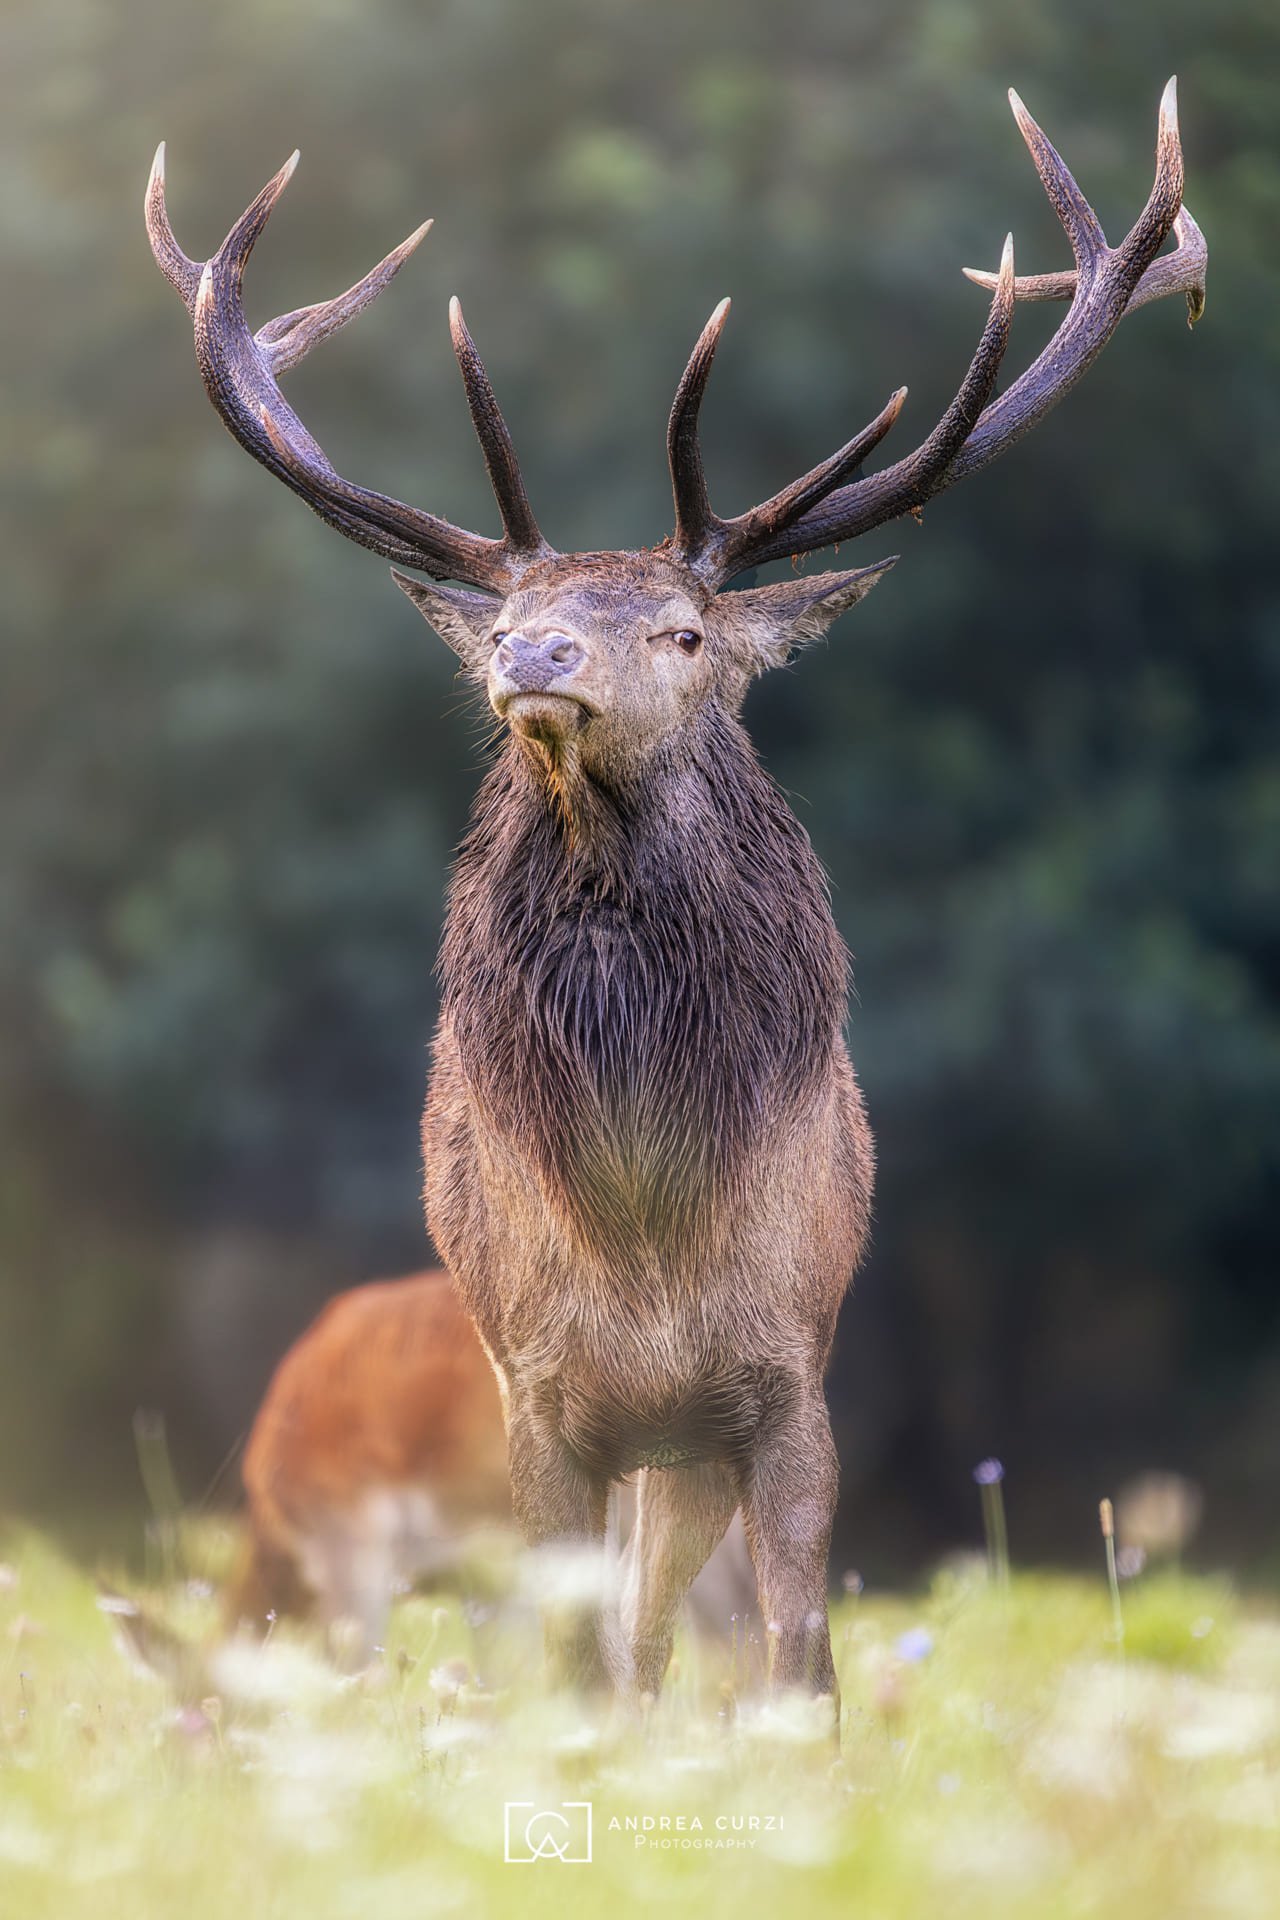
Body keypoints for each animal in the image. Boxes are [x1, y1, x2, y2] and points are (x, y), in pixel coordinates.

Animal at [145, 82, 1205, 1714]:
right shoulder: (541, 1401)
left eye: (684, 629)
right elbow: (581, 1672)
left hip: (694, 1453)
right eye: (509, 620)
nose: (532, 657)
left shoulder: (789, 1386)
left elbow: (801, 1668)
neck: (648, 1234)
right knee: (629, 1649)